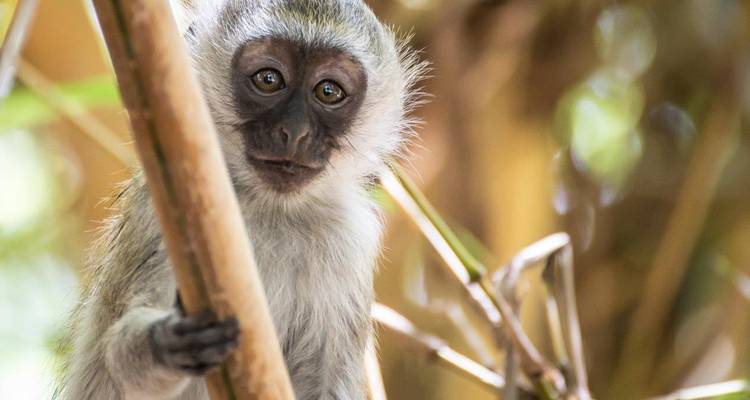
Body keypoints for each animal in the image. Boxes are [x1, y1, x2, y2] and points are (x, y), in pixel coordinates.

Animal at [58, 0, 426, 399]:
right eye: (269, 80)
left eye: (329, 91)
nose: (295, 132)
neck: (271, 208)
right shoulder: (159, 214)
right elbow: (118, 366)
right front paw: (166, 343)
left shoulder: (350, 239)